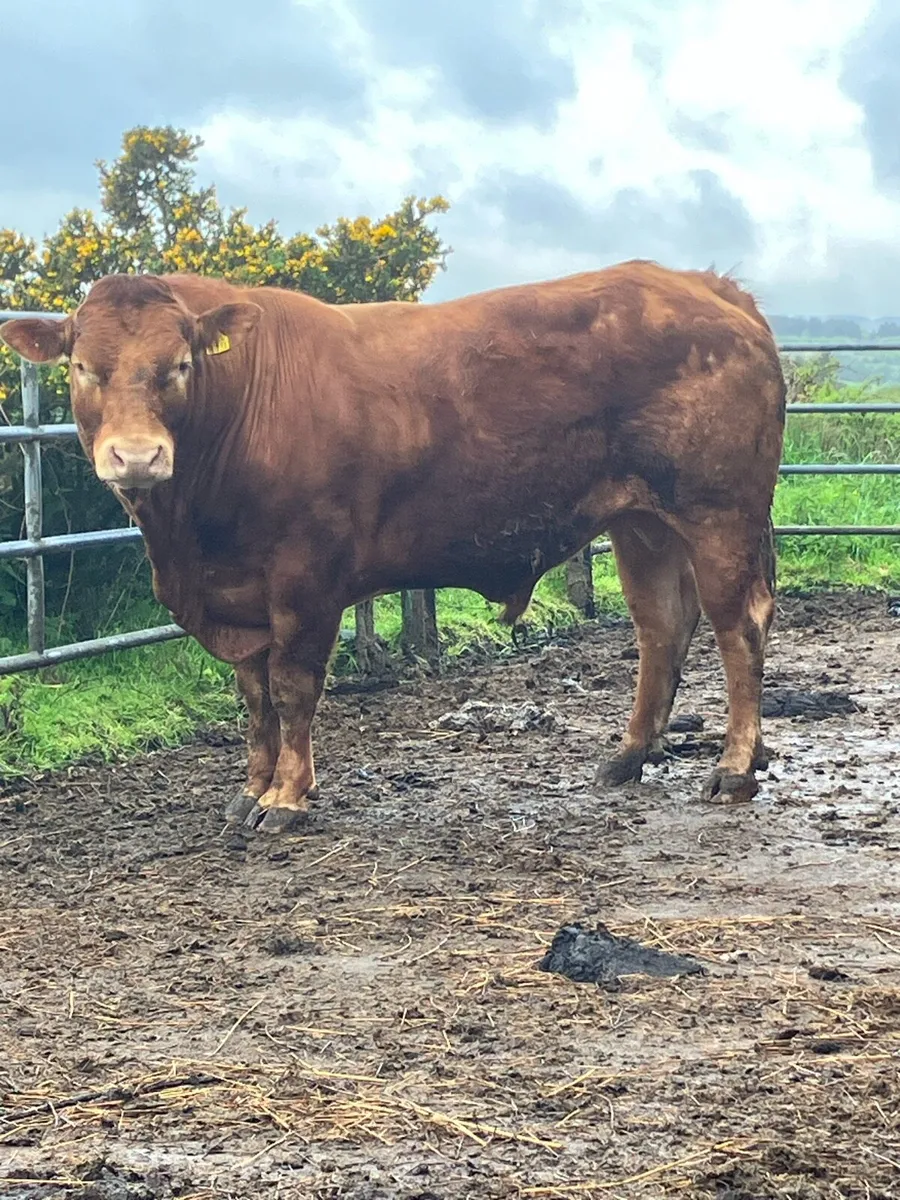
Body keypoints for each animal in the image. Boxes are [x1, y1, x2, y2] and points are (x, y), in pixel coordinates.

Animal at [0, 261, 785, 833]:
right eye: (83, 368)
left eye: (179, 366)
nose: (137, 456)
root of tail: (705, 285)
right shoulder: (239, 596)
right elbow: (253, 698)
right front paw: (251, 789)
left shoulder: (305, 580)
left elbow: (293, 689)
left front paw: (287, 797)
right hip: (643, 522)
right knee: (661, 627)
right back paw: (628, 756)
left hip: (719, 514)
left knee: (737, 628)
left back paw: (734, 767)